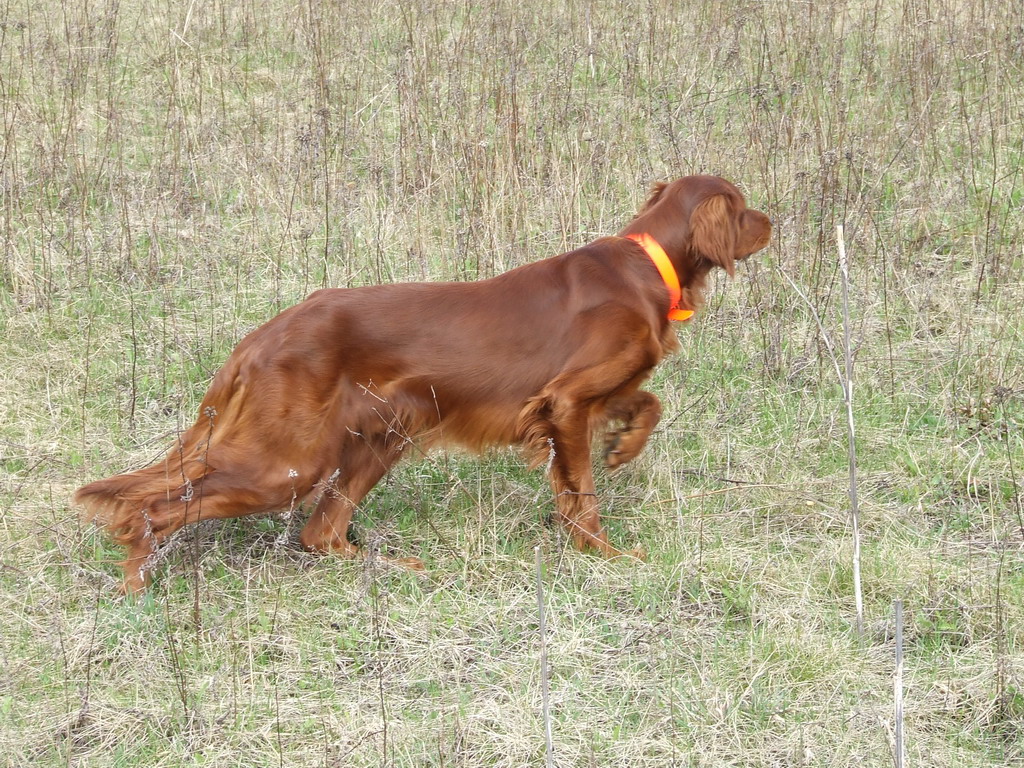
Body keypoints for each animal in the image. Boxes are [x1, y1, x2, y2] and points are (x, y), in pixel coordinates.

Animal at [75, 176, 771, 592]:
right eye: (742, 209)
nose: (774, 222)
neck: (645, 266)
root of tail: (261, 338)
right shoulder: (567, 401)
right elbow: (583, 495)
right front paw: (606, 555)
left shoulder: (588, 396)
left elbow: (650, 401)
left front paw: (624, 445)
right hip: (288, 463)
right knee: (156, 507)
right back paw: (137, 583)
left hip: (382, 436)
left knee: (320, 533)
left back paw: (393, 566)